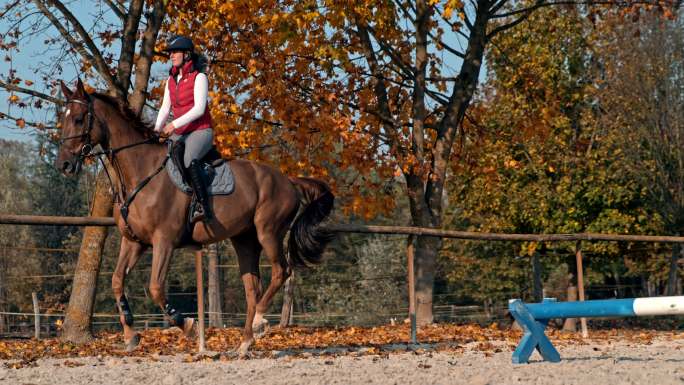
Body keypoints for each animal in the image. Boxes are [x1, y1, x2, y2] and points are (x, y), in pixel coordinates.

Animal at [54, 79, 332, 356]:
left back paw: (259, 322)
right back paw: (244, 343)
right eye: (62, 119)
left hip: (269, 232)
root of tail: (289, 180)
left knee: (280, 271)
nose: (64, 165)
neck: (139, 173)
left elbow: (156, 288)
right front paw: (131, 335)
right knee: (253, 289)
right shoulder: (133, 242)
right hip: (244, 240)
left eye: (78, 119)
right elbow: (116, 280)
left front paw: (187, 325)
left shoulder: (164, 241)